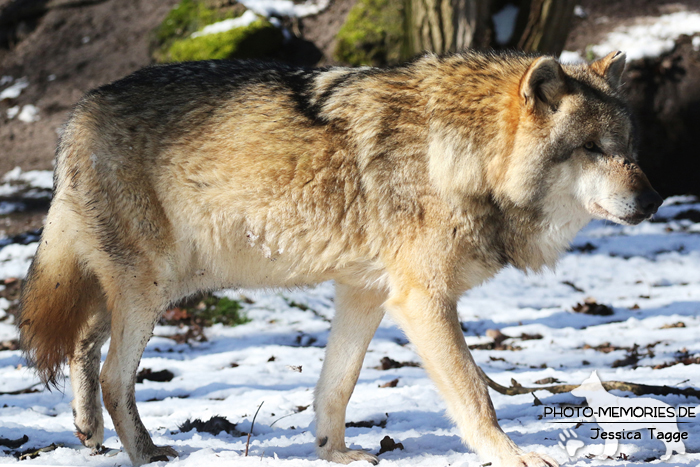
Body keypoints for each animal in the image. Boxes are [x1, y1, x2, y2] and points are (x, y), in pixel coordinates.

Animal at [17, 49, 660, 466]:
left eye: (630, 149)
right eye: (592, 149)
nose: (655, 199)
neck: (461, 155)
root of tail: (80, 112)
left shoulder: (366, 293)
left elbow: (338, 385)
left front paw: (334, 453)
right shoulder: (423, 301)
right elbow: (478, 397)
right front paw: (514, 458)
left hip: (159, 285)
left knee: (83, 342)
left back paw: (90, 434)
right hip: (154, 286)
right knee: (112, 376)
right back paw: (145, 454)